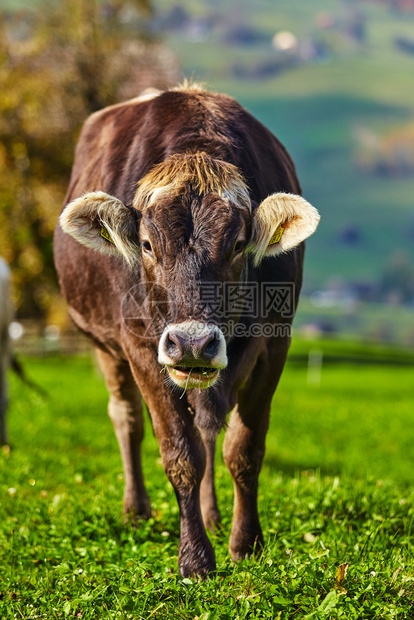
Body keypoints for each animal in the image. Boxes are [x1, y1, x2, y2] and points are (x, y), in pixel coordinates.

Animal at [54, 82, 320, 576]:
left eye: (238, 245)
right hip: (108, 347)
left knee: (209, 427)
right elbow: (180, 454)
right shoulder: (139, 344)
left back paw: (213, 515)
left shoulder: (275, 342)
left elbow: (243, 448)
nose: (192, 342)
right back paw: (136, 510)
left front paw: (245, 543)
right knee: (127, 417)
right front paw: (195, 559)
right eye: (146, 244)